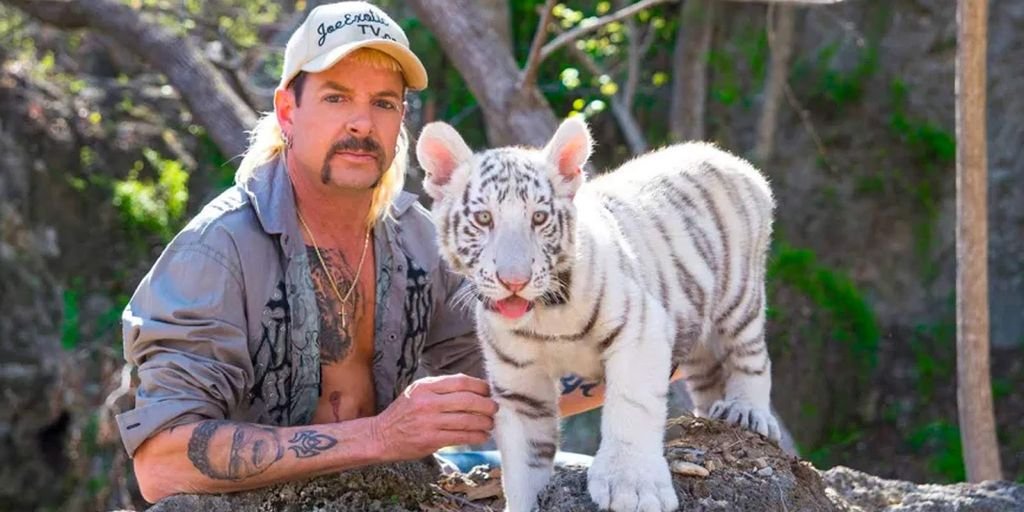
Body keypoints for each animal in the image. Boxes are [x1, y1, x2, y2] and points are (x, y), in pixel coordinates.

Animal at [415, 116, 780, 512]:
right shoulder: (519, 382)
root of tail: (726, 156)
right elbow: (524, 462)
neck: (545, 314)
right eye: (484, 218)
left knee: (752, 355)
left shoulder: (641, 331)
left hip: (740, 296)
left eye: (539, 218)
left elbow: (631, 406)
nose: (514, 281)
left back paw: (748, 411)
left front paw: (633, 487)